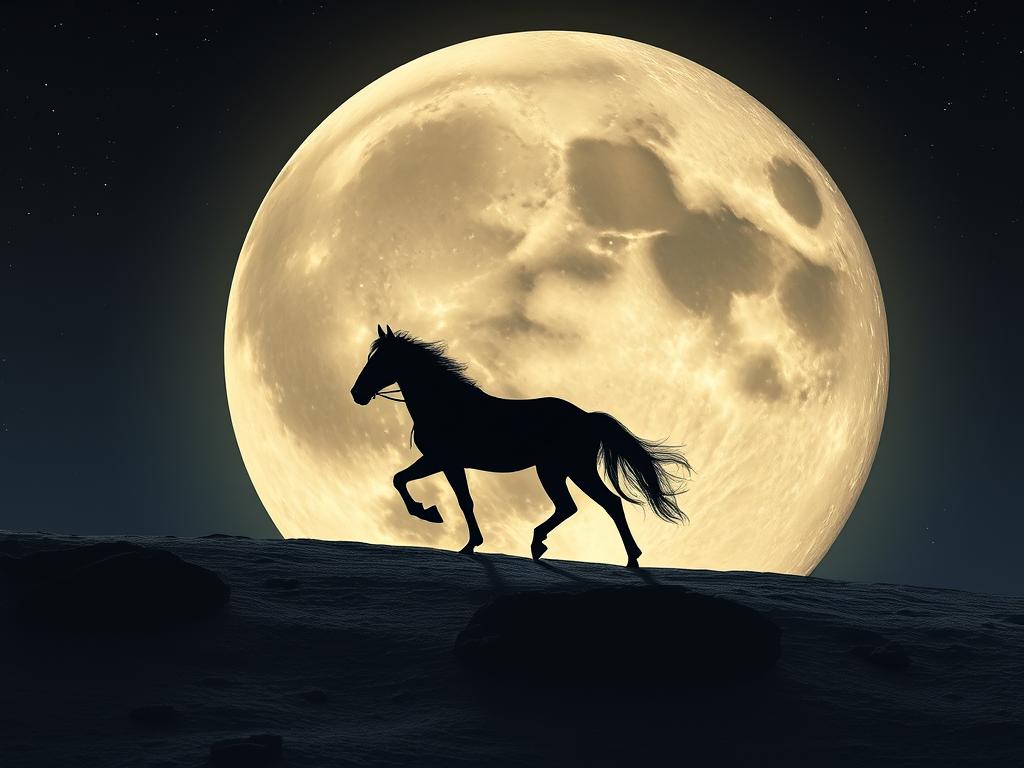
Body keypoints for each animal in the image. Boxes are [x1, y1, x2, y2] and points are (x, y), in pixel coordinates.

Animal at [348, 321, 692, 569]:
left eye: (380, 361)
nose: (356, 393)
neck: (446, 404)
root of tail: (587, 417)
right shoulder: (447, 463)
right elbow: (429, 489)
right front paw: (461, 535)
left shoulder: (442, 460)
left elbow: (418, 486)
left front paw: (434, 517)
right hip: (560, 471)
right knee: (581, 505)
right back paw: (549, 545)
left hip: (567, 470)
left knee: (603, 504)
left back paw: (623, 556)